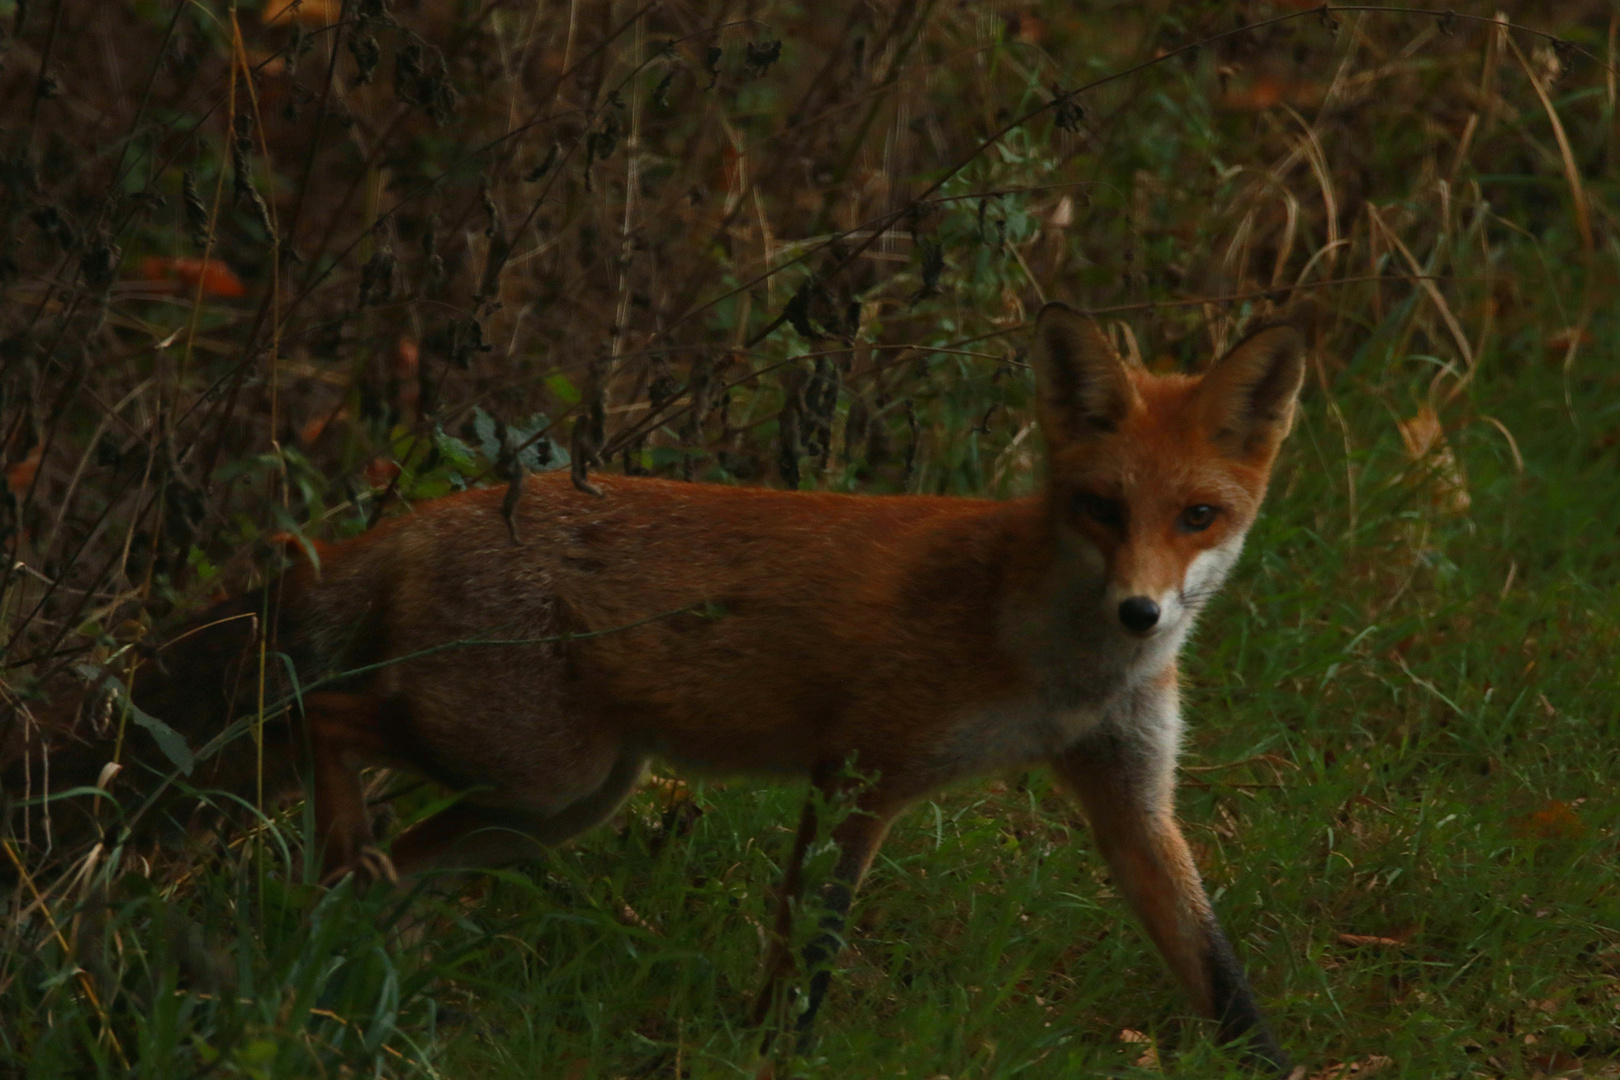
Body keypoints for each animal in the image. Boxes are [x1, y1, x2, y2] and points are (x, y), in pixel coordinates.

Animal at [3, 304, 1302, 1075]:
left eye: (1198, 516)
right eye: (1101, 509)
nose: (1144, 613)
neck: (1058, 662)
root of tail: (419, 516)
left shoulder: (1129, 799)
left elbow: (1220, 971)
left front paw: (1274, 1063)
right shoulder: (862, 768)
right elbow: (813, 942)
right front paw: (782, 1051)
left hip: (557, 801)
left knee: (387, 854)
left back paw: (361, 949)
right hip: (533, 763)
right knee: (326, 716)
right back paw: (340, 856)